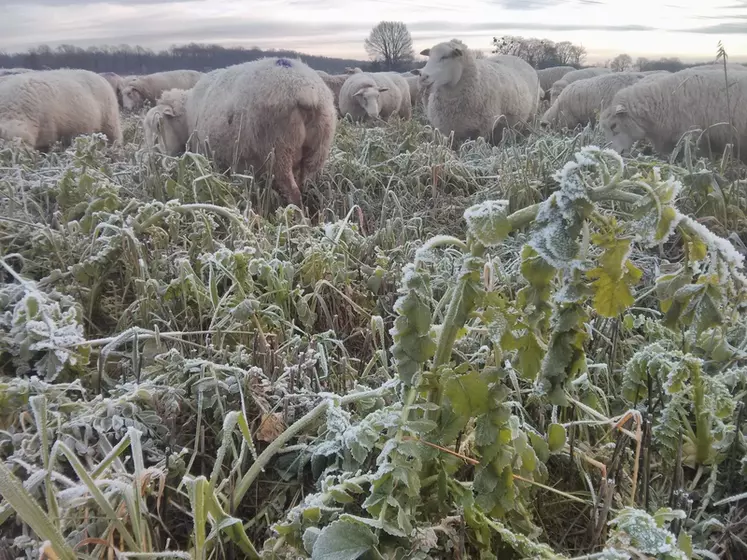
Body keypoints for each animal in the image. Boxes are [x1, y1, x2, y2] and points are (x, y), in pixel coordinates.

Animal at [144, 57, 336, 207]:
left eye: (158, 126)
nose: (152, 161)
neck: (185, 118)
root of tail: (306, 89)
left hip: (279, 150)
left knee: (294, 193)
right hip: (317, 152)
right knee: (307, 188)